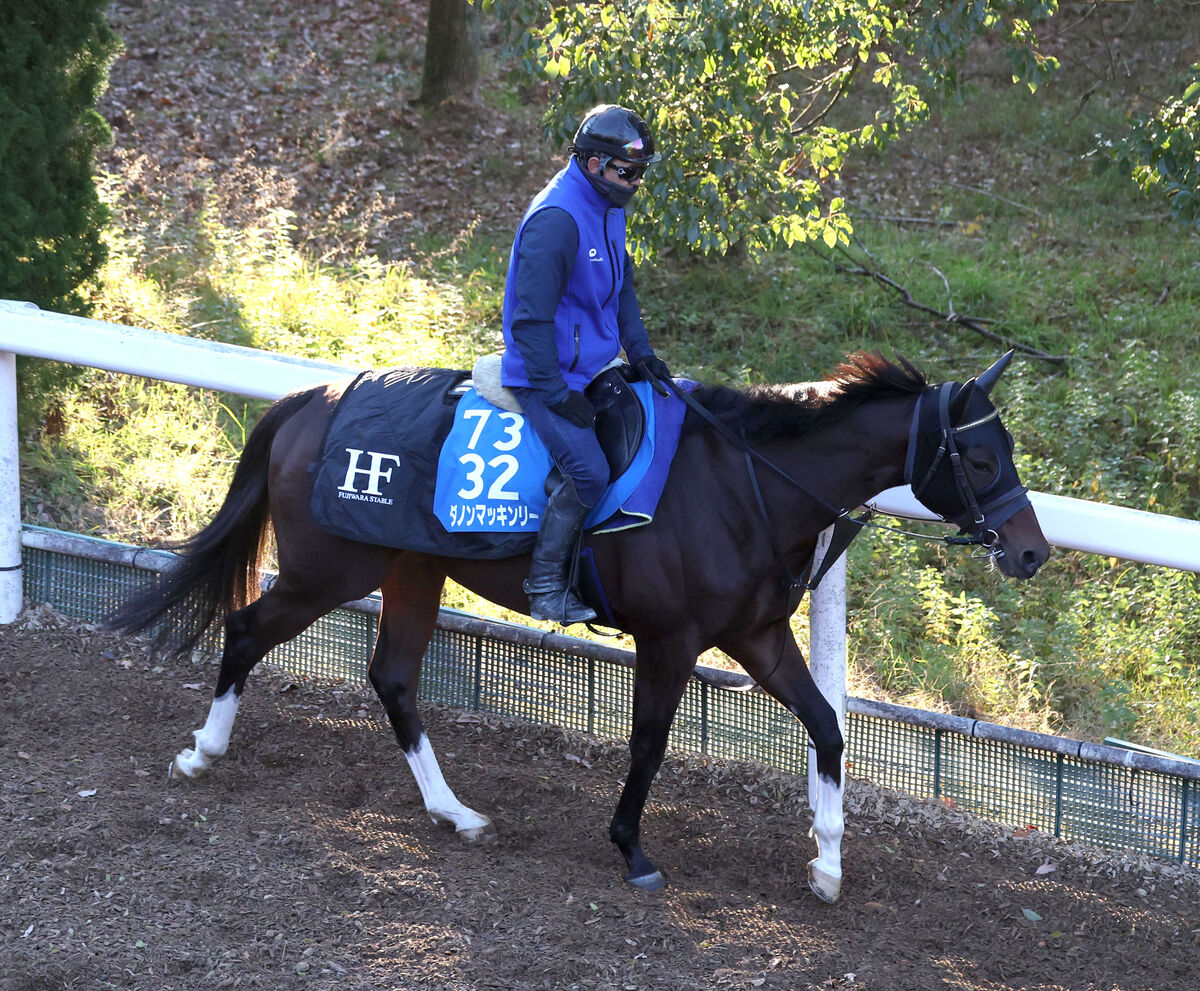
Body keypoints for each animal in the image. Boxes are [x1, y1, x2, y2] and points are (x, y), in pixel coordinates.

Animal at [112, 350, 1051, 897]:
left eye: (1005, 450)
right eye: (977, 456)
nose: (1033, 550)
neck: (746, 479)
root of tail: (310, 395)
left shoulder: (756, 635)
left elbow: (826, 725)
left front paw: (826, 859)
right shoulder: (671, 639)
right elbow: (649, 742)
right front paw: (631, 846)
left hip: (412, 570)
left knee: (393, 678)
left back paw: (456, 812)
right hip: (330, 569)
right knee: (246, 629)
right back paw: (203, 751)